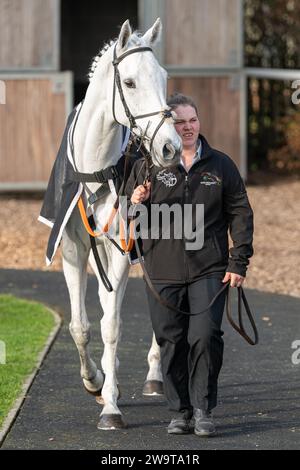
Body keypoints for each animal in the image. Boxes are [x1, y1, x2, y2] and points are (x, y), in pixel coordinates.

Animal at [61, 18, 180, 430]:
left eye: (164, 77)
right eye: (128, 82)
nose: (170, 148)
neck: (95, 169)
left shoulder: (120, 251)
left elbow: (111, 326)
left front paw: (111, 406)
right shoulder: (74, 249)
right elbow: (80, 326)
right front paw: (94, 381)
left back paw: (156, 376)